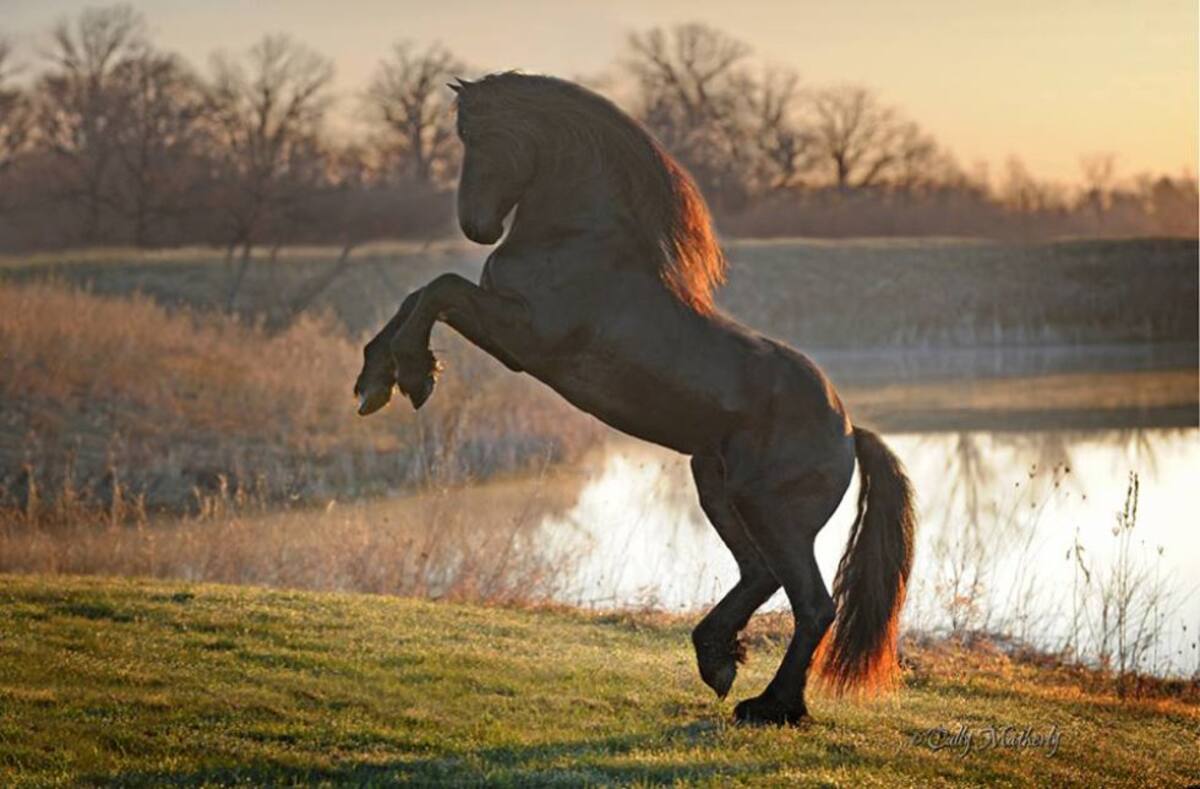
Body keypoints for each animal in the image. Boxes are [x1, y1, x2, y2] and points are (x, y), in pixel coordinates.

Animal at [353, 72, 915, 726]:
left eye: (482, 136)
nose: (477, 227)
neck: (579, 238)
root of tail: (849, 431)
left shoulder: (524, 337)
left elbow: (438, 290)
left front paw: (414, 376)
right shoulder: (504, 325)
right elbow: (418, 295)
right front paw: (376, 382)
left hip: (771, 510)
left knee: (812, 603)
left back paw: (771, 705)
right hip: (718, 487)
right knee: (761, 575)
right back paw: (718, 662)